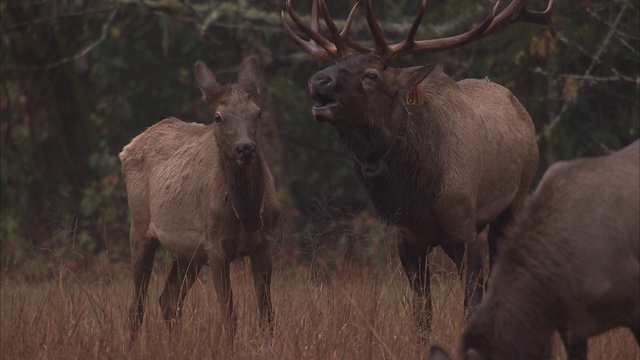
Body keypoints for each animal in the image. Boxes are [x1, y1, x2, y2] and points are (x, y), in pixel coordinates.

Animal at [120, 56, 280, 340]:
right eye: (218, 116)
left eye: (258, 112)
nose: (246, 148)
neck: (246, 211)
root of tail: (126, 149)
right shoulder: (215, 245)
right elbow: (230, 317)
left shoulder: (265, 243)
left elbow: (267, 316)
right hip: (140, 228)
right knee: (137, 306)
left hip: (189, 253)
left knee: (168, 299)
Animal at [282, 0, 552, 338]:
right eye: (336, 63)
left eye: (371, 75)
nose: (318, 81)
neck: (421, 193)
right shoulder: (408, 239)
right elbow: (422, 314)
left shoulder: (464, 232)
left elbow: (471, 306)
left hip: (516, 199)